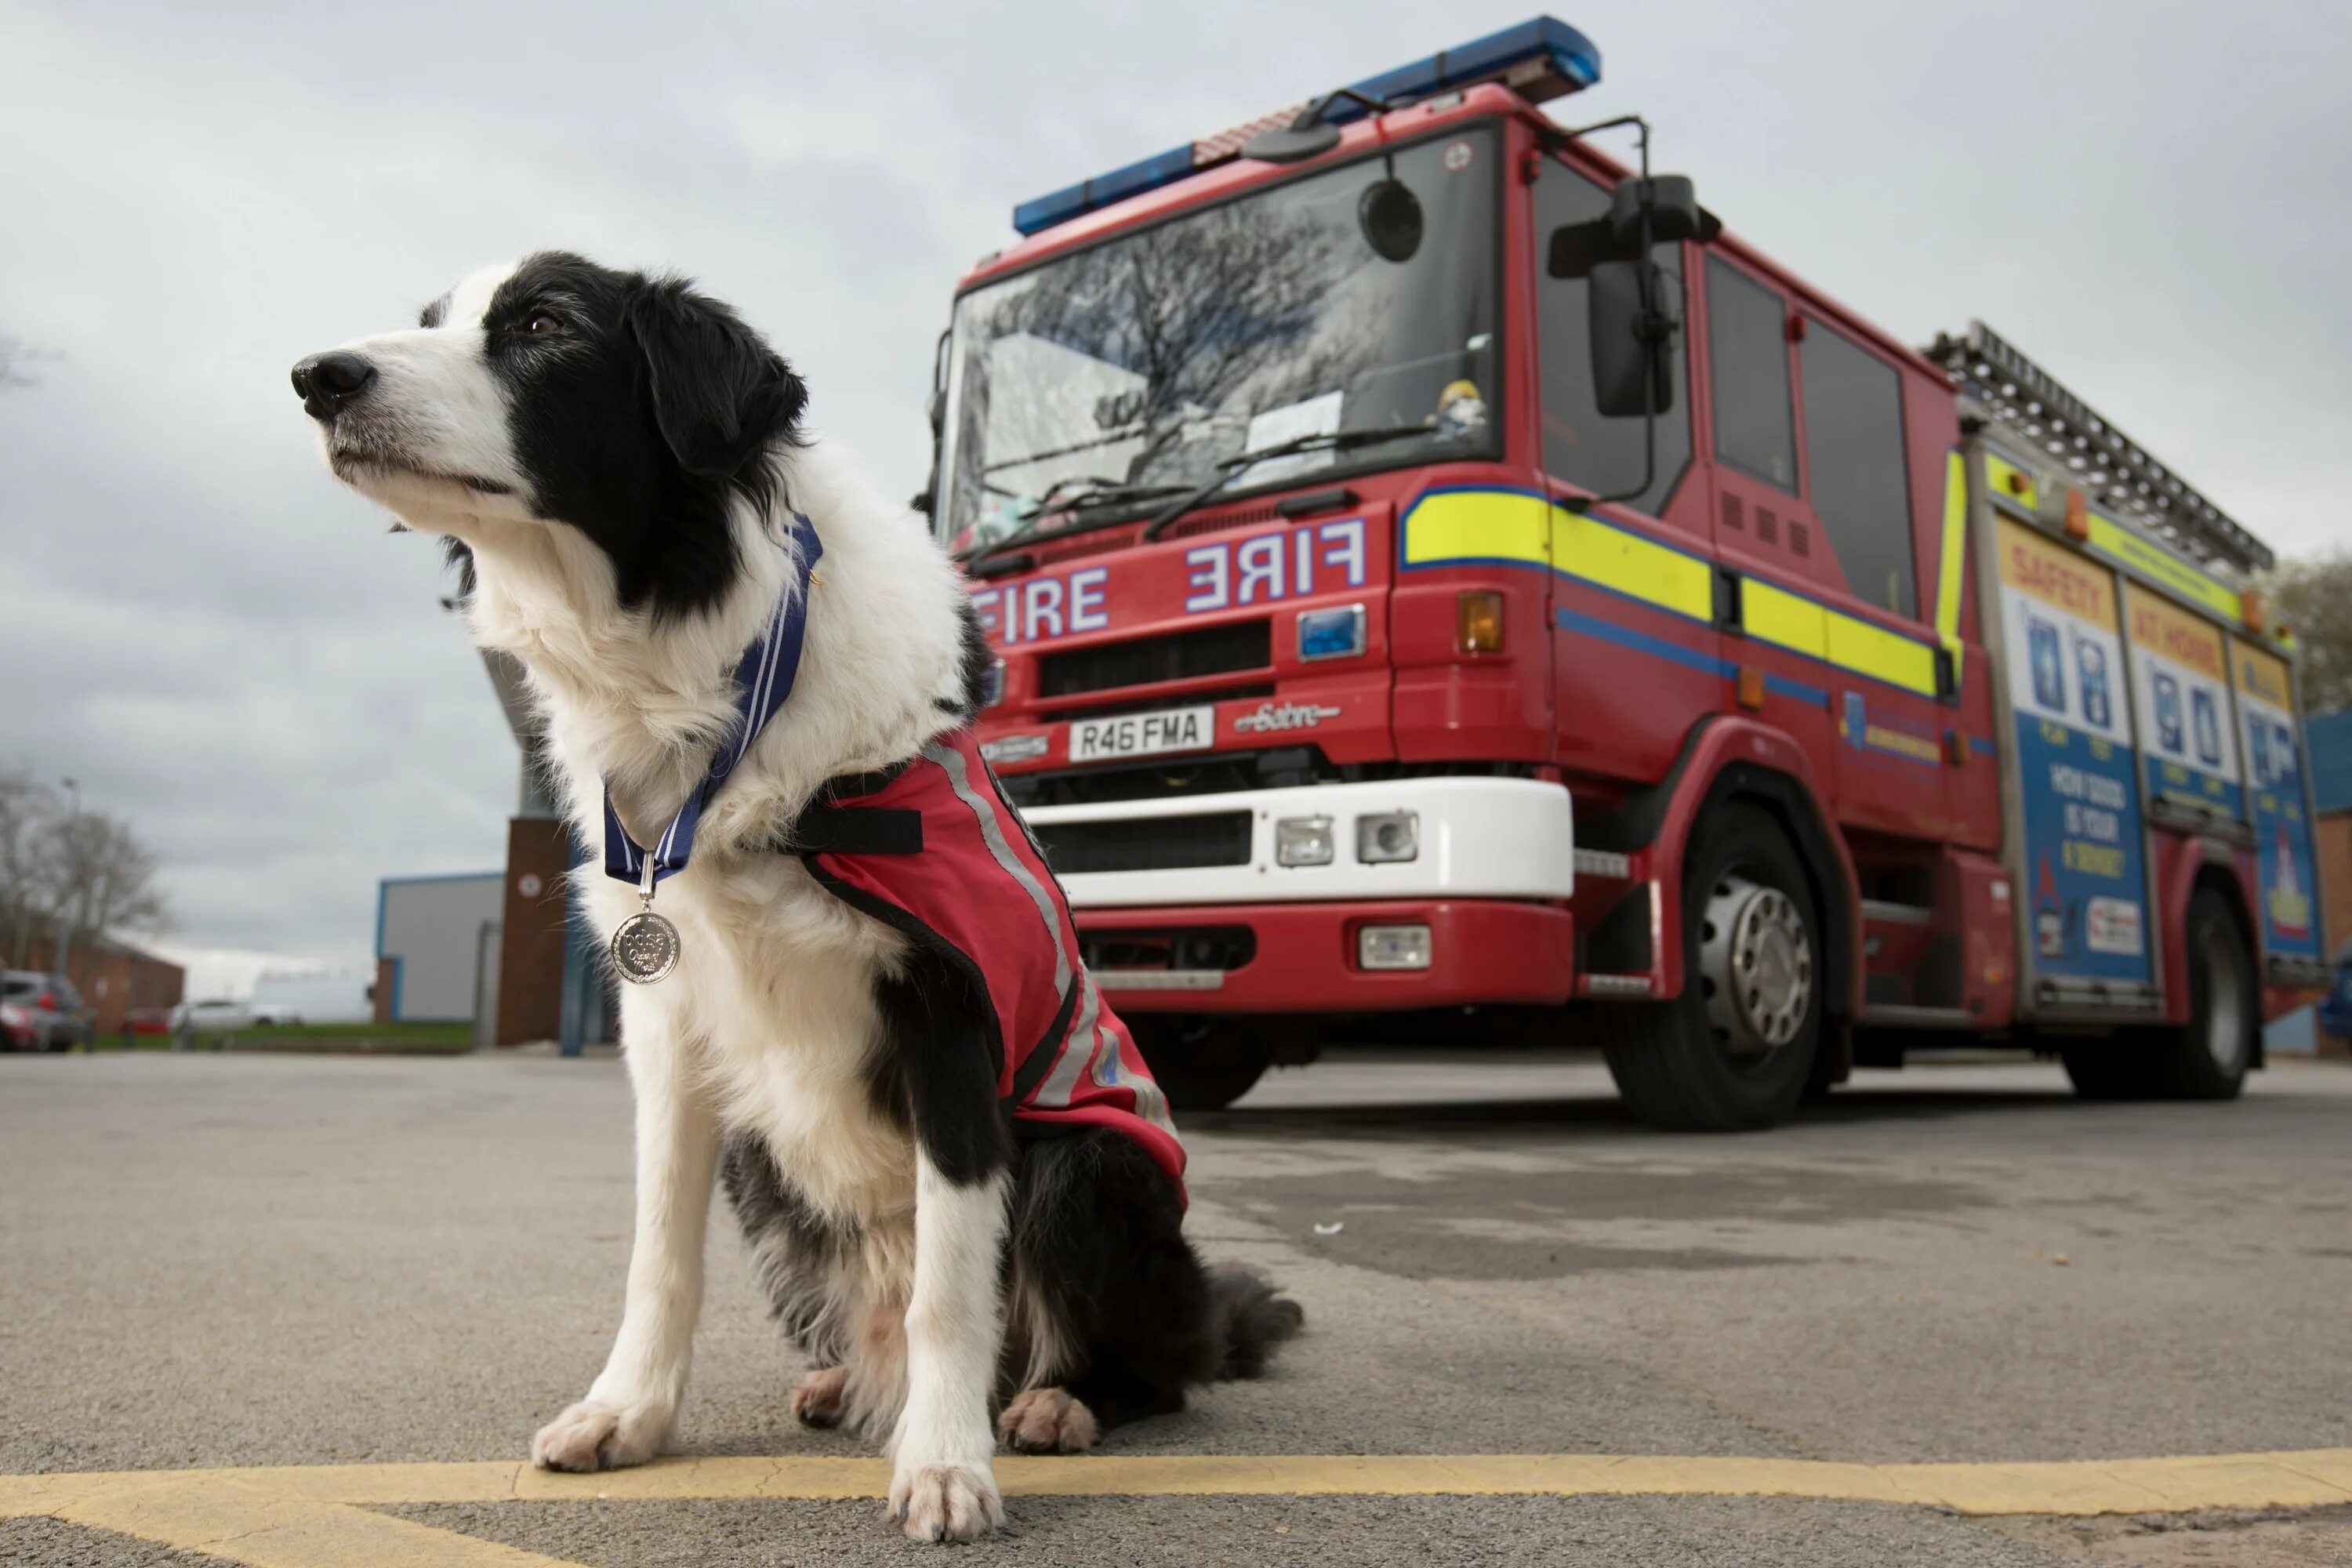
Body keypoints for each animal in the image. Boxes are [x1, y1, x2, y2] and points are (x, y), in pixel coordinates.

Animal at [289, 257, 1308, 1542]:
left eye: (543, 325)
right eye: (429, 323)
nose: (316, 377)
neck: (696, 676)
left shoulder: (951, 1016)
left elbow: (950, 1290)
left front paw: (945, 1464)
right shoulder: (668, 1023)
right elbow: (658, 1254)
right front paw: (628, 1413)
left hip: (1093, 1165)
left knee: (1154, 1359)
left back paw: (1054, 1404)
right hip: (765, 1169)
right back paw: (843, 1382)